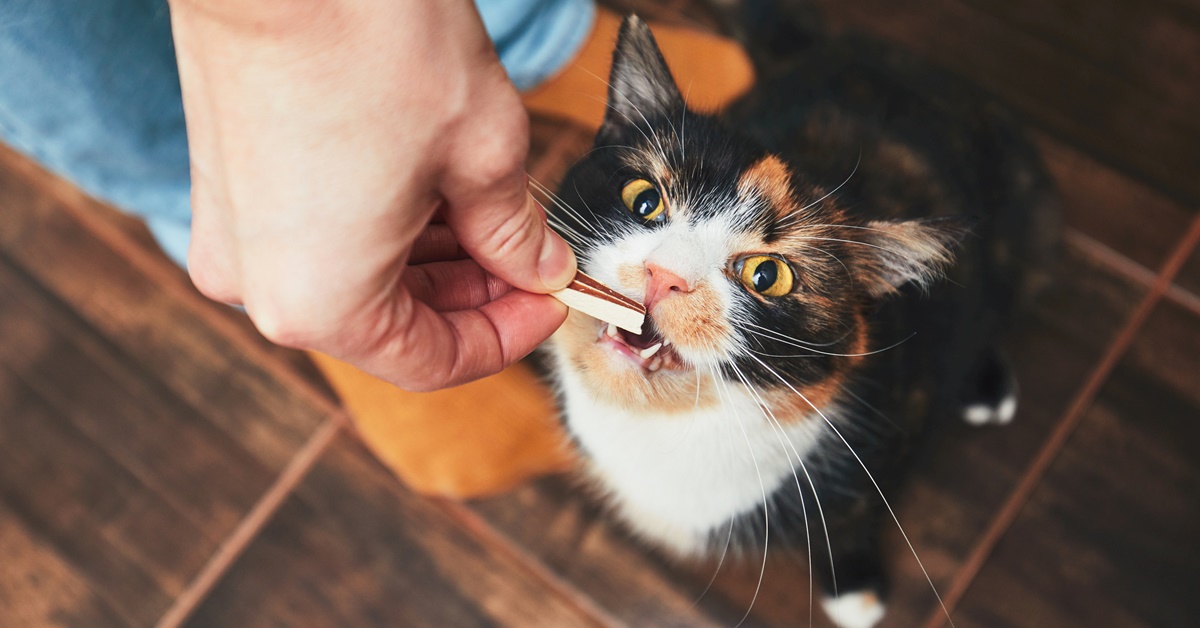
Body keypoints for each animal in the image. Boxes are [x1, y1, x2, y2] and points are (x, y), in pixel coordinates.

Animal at [540, 11, 1056, 628]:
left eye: (768, 276)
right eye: (644, 199)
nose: (664, 275)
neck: (667, 424)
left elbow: (855, 511)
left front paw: (856, 589)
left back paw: (987, 385)